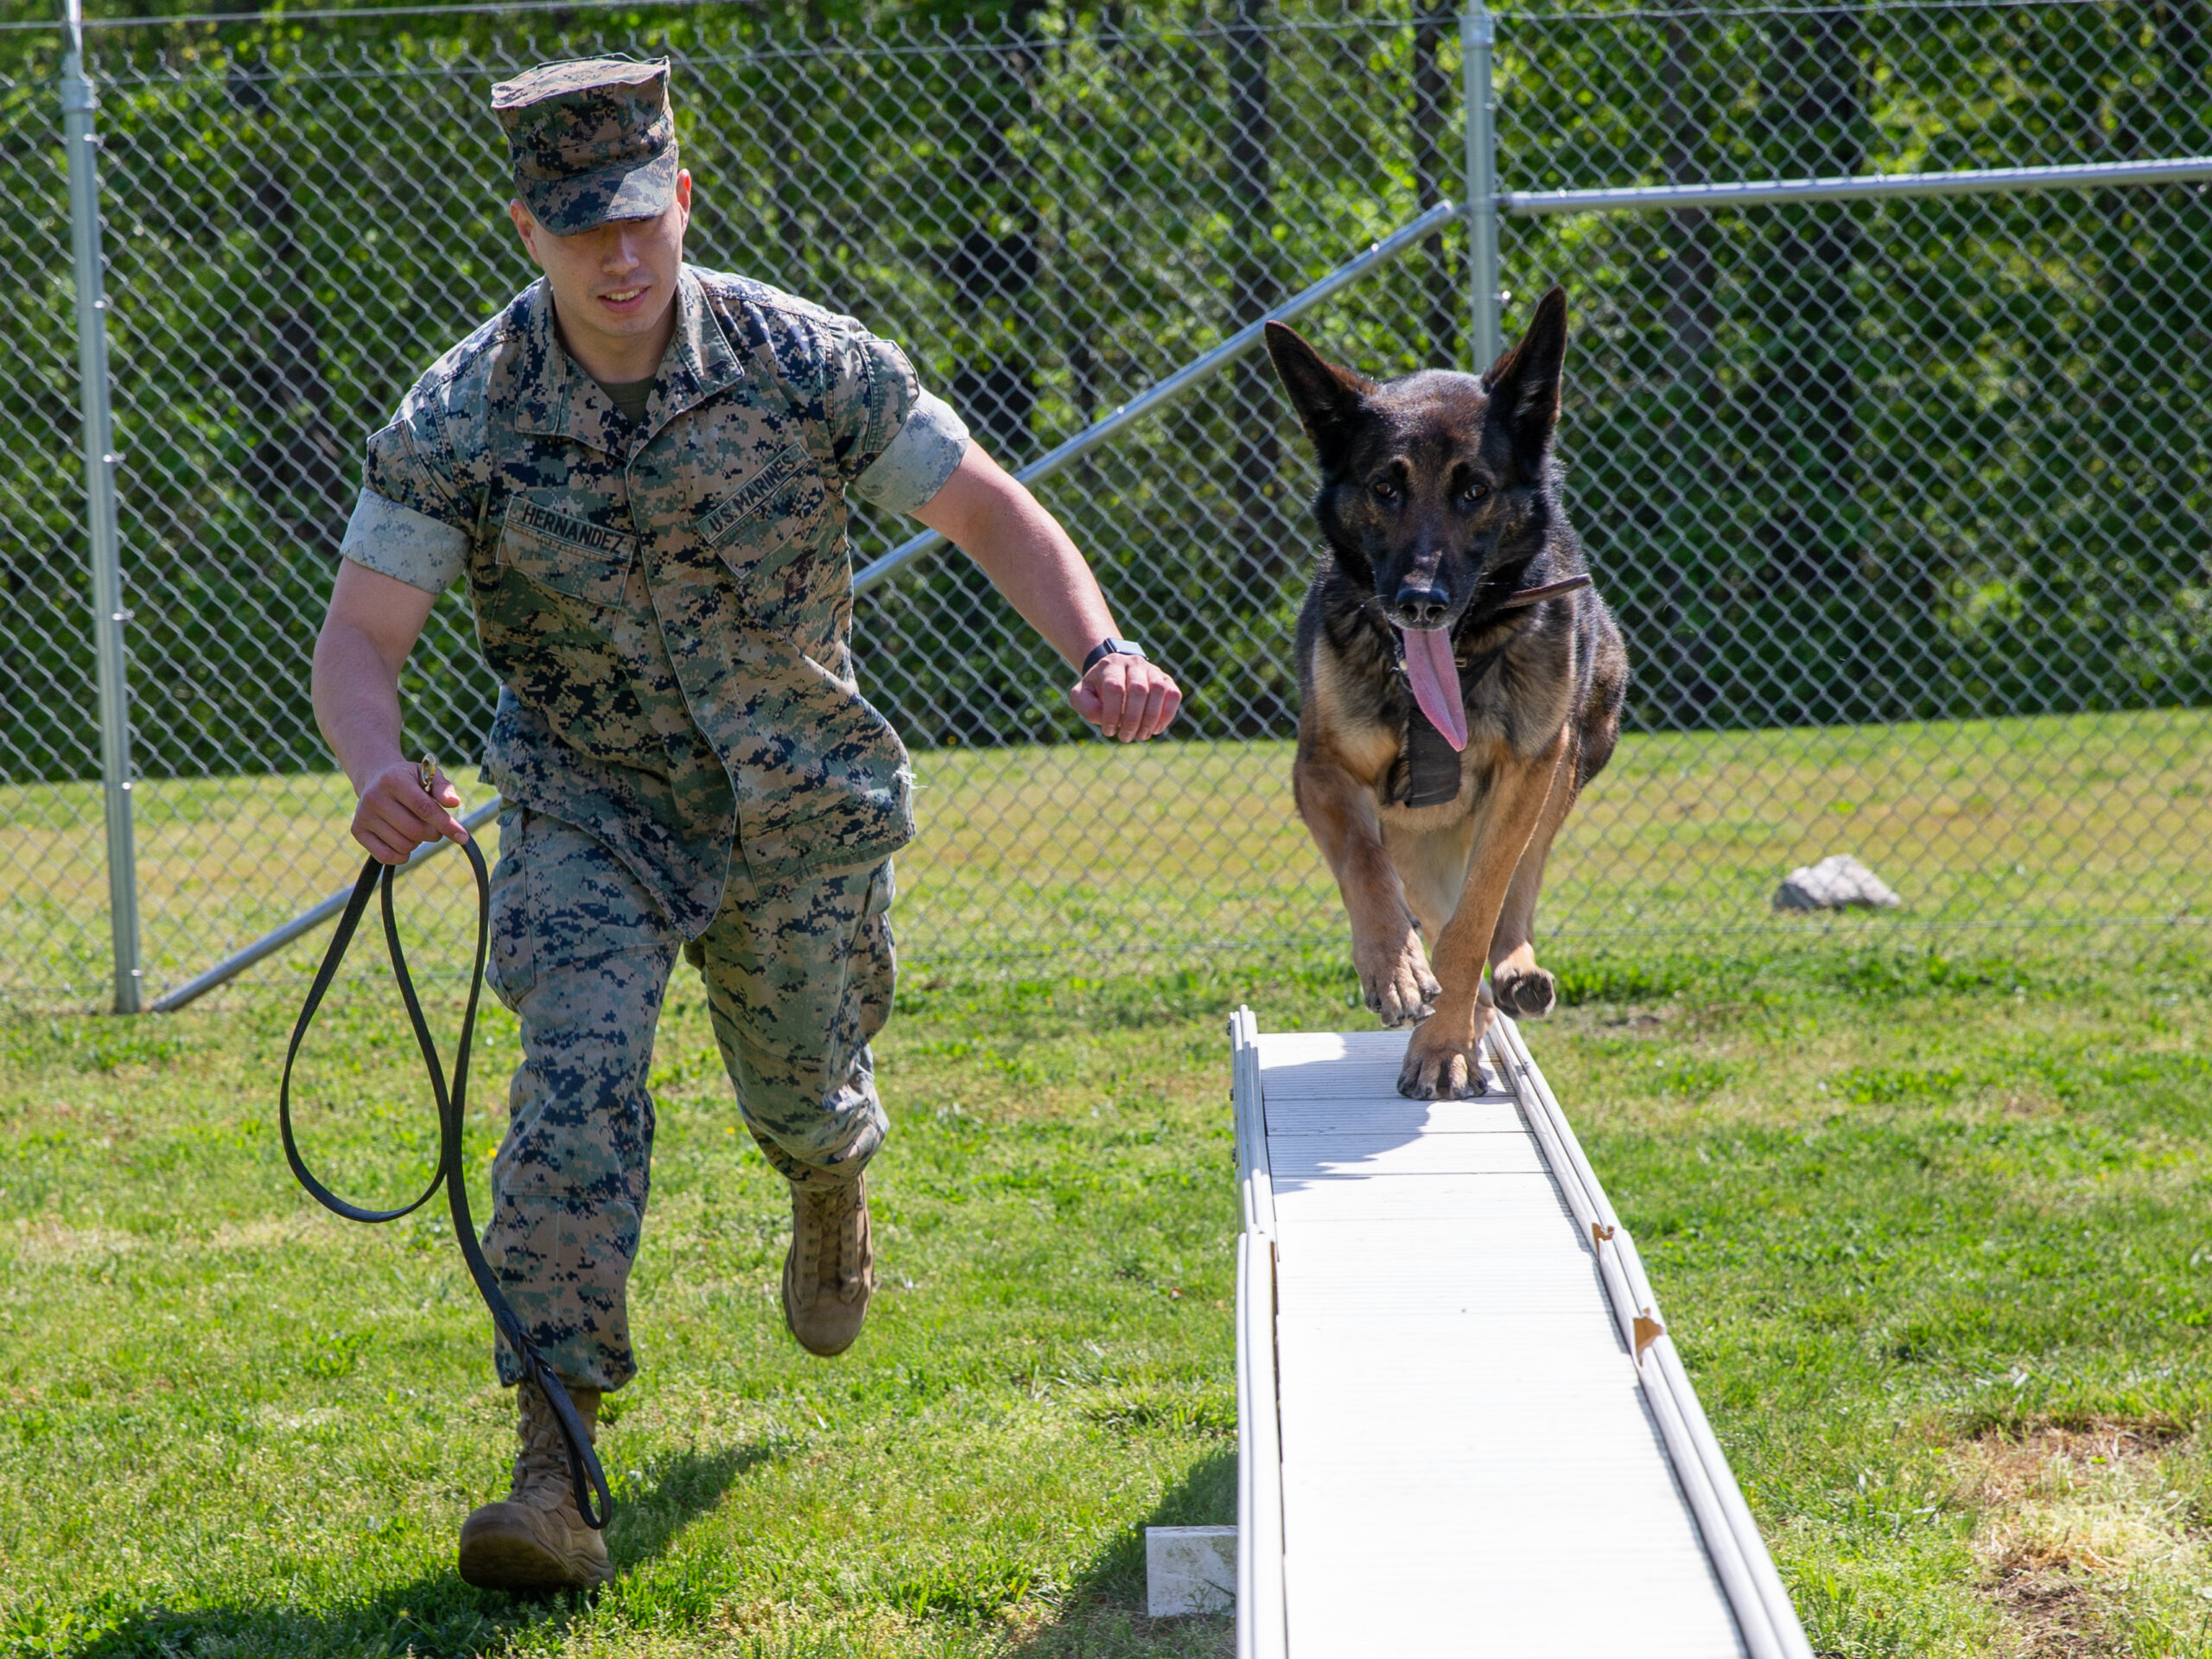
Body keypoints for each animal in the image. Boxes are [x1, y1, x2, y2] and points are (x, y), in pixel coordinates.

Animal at [1265, 289, 1628, 1106]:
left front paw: (1445, 1046)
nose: (1420, 602)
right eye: (1385, 488)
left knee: (1514, 890)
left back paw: (1513, 973)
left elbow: (1477, 917)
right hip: (1416, 823)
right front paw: (1394, 967)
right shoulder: (1322, 770)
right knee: (1421, 890)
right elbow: (1366, 865)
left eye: (1474, 491)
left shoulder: (1530, 768)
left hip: (1575, 752)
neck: (1451, 666)